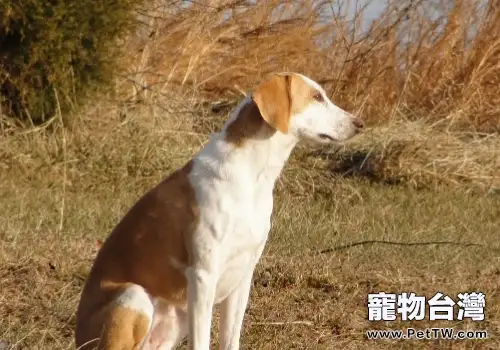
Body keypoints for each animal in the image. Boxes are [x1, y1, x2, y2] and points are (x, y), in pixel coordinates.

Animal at [74, 72, 364, 348]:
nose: (359, 123)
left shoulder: (242, 277)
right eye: (317, 96)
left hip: (175, 319)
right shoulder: (204, 277)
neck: (252, 176)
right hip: (134, 295)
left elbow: (231, 338)